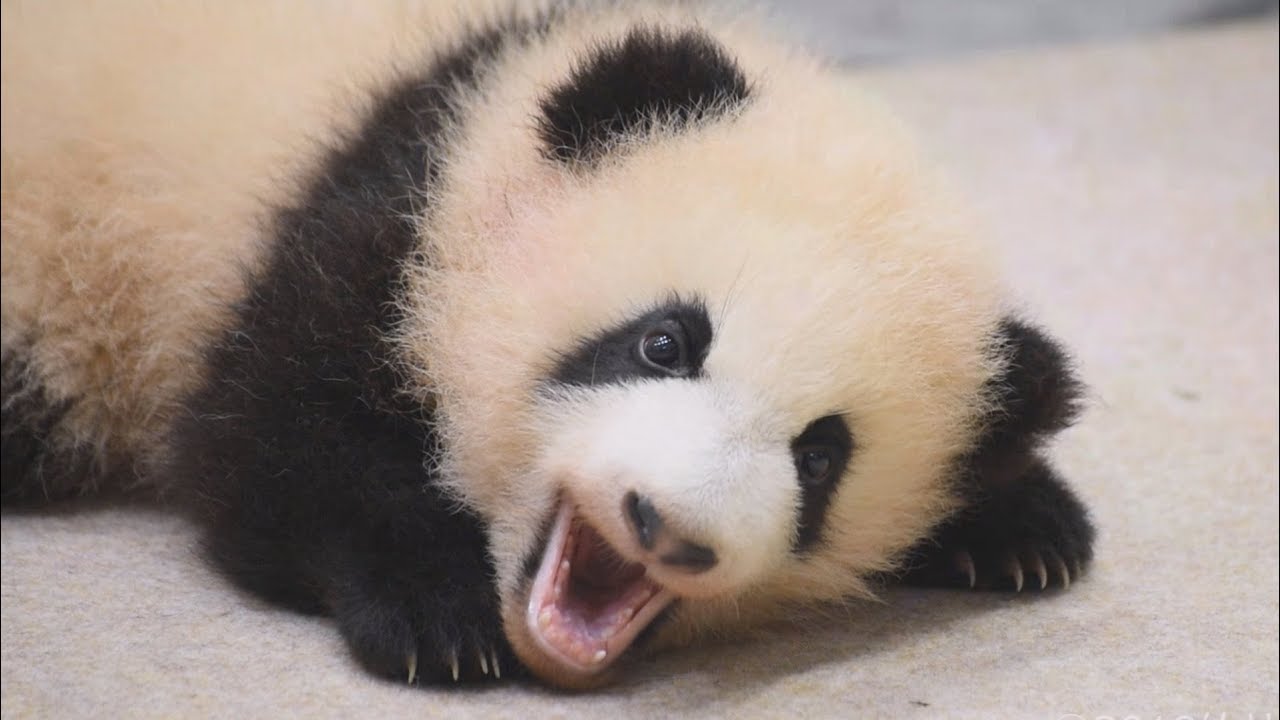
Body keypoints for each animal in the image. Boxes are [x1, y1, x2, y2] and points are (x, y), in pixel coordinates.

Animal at [1, 0, 1094, 690]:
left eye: (819, 457)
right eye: (663, 342)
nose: (663, 525)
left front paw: (1024, 523)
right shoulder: (368, 222)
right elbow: (267, 451)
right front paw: (438, 619)